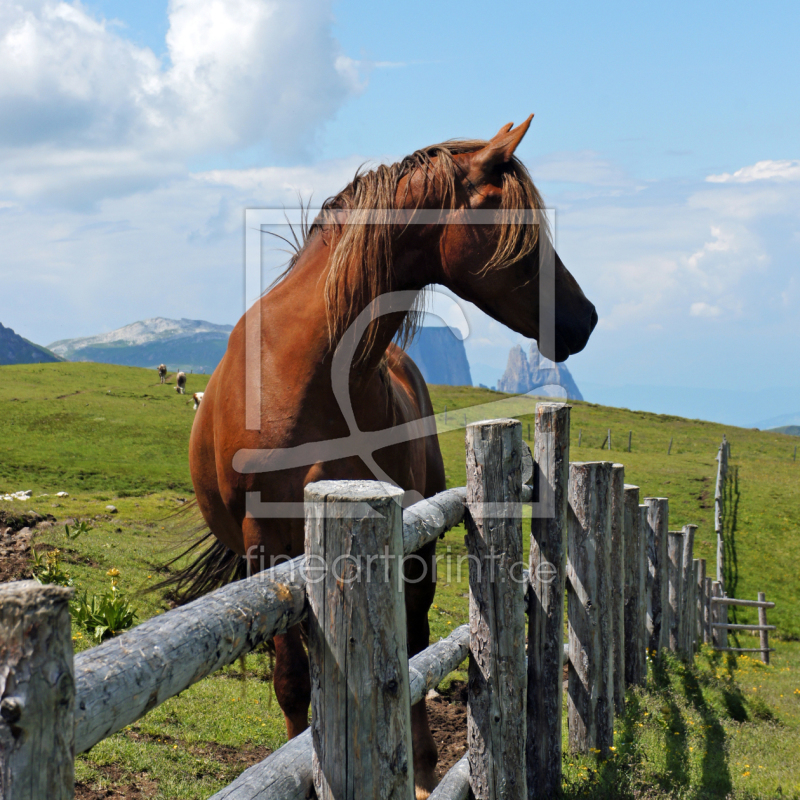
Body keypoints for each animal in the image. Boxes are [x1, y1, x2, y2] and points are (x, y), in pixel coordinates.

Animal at [180, 117, 592, 792]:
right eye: (523, 233)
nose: (585, 318)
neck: (309, 374)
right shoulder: (267, 549)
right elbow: (293, 684)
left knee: (414, 638)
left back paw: (422, 769)